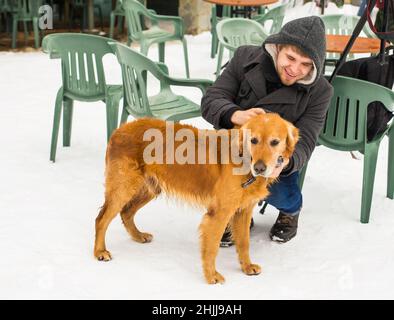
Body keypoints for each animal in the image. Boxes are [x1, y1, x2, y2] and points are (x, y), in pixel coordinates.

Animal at [94, 114, 298, 284]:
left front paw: (247, 266)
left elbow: (244, 242)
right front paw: (211, 276)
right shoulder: (219, 214)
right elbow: (212, 248)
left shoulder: (243, 211)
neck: (244, 161)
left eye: (274, 142)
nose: (260, 168)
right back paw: (99, 252)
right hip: (124, 187)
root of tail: (120, 129)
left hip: (150, 188)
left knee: (126, 212)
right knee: (101, 219)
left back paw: (138, 236)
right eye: (253, 140)